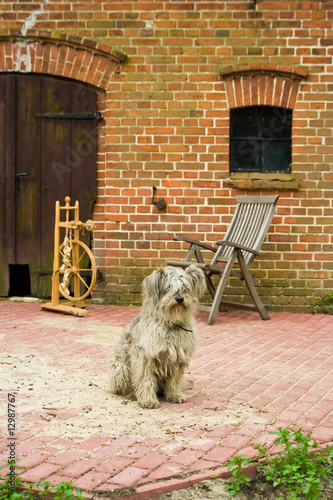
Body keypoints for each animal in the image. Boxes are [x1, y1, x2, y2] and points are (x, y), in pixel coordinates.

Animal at [107, 264, 205, 408]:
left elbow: (174, 380)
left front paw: (175, 395)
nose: (180, 299)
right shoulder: (145, 357)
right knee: (125, 388)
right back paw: (133, 395)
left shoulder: (178, 357)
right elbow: (145, 380)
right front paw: (148, 400)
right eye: (169, 287)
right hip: (120, 368)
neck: (171, 322)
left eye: (185, 287)